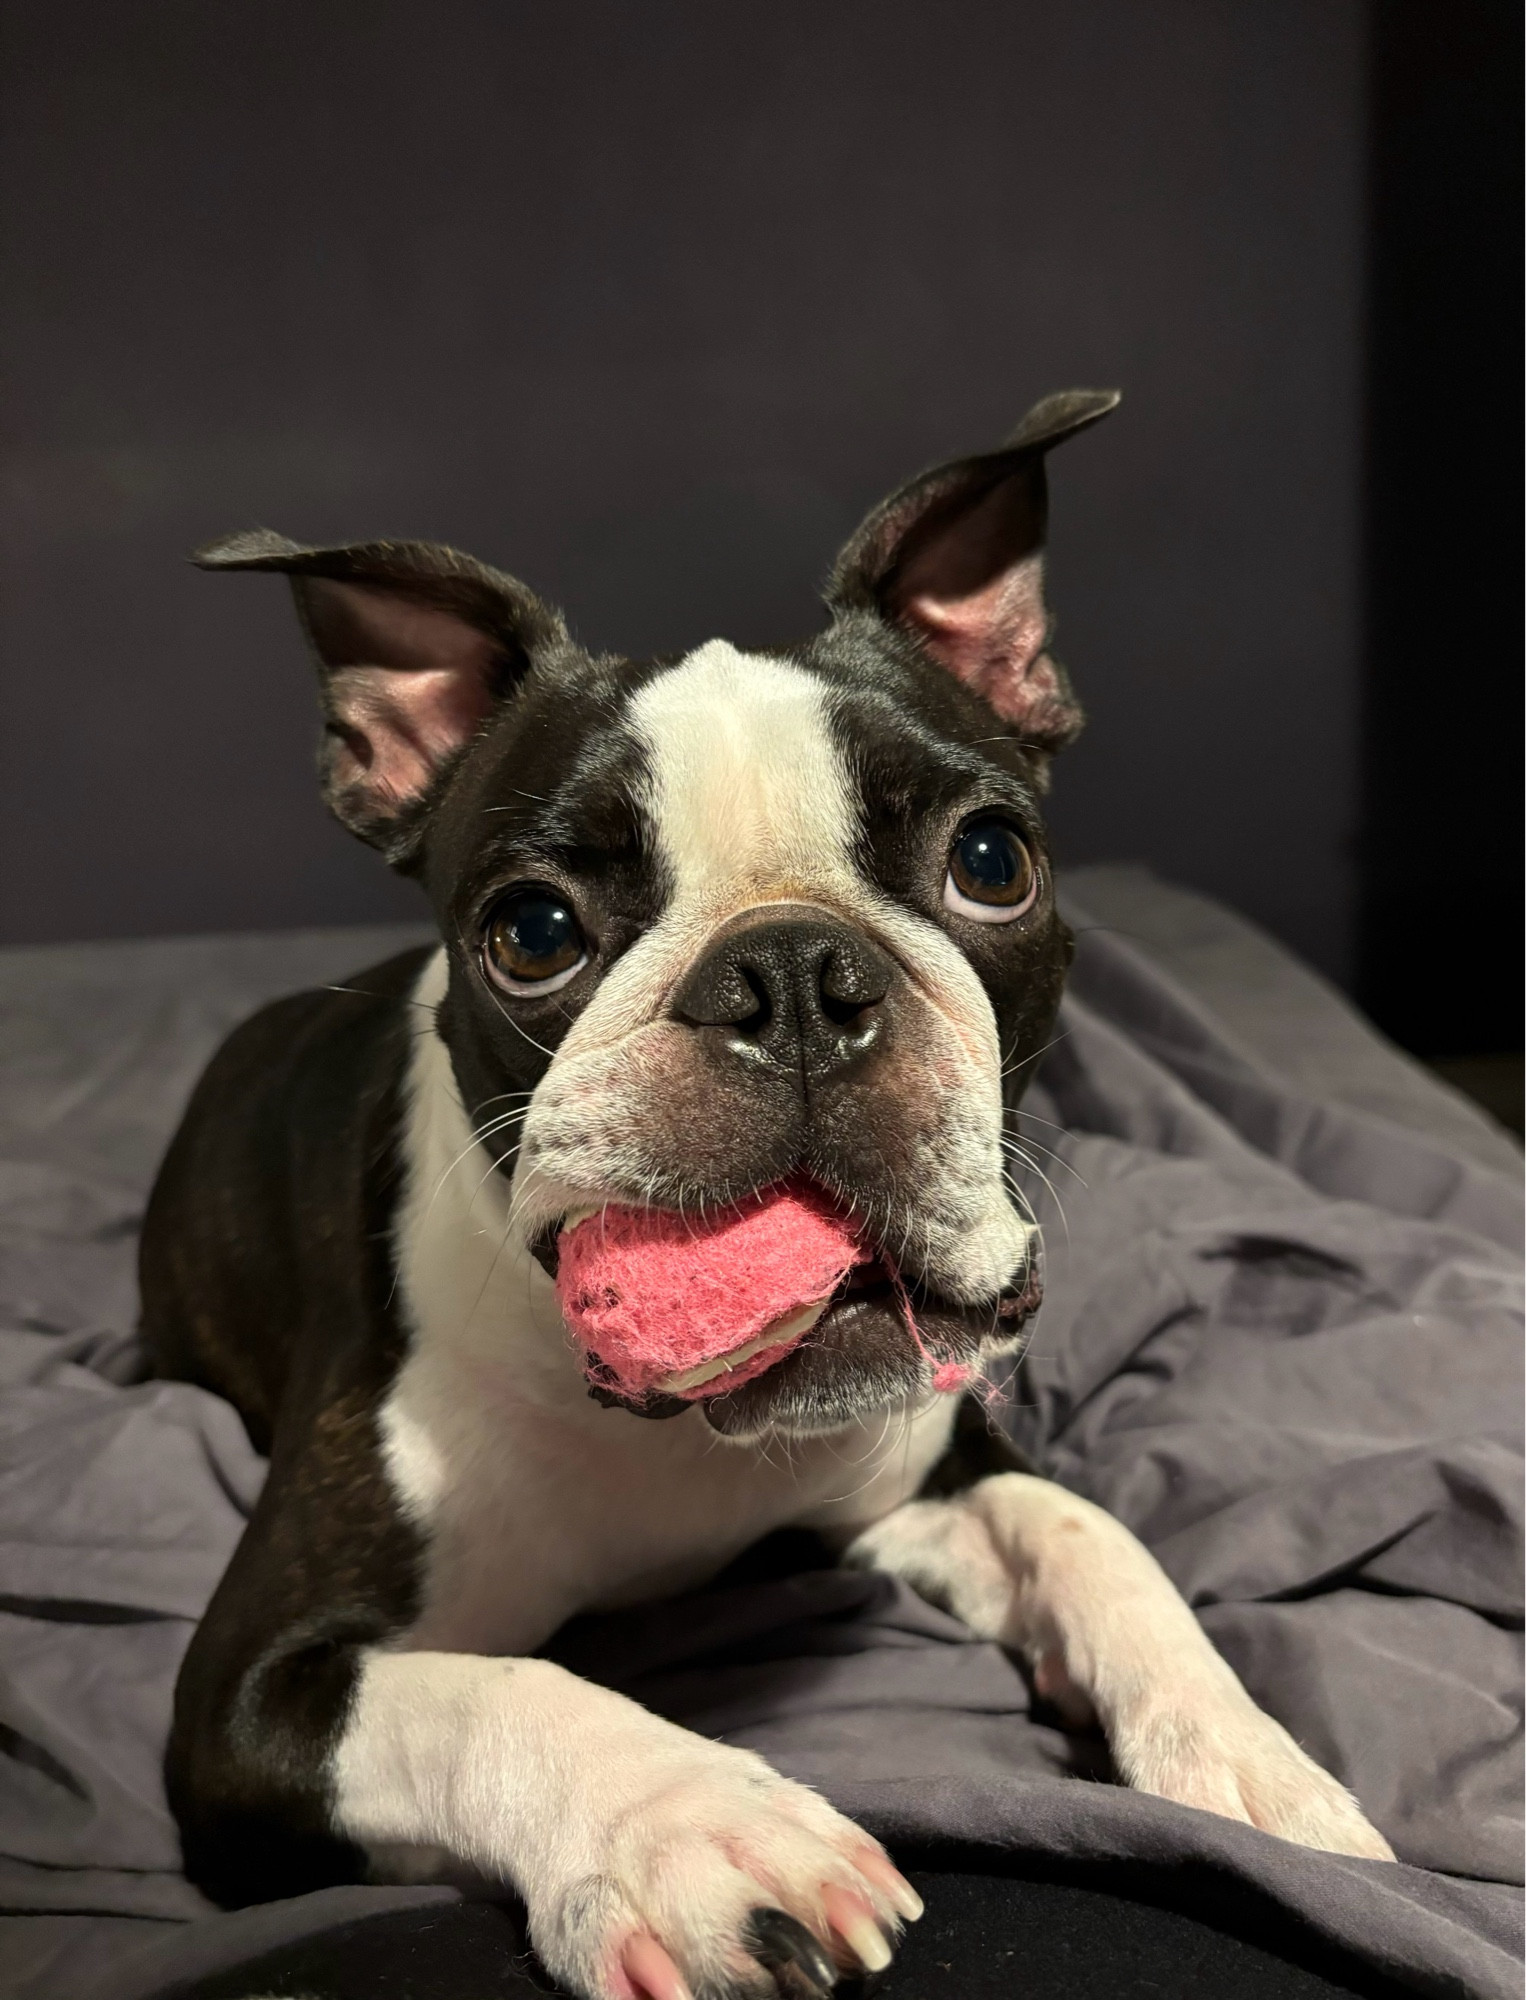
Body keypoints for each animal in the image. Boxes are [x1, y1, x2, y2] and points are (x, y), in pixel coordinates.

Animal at [143, 394, 1400, 2000]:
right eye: (531, 930)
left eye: (990, 858)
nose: (792, 972)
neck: (677, 1441)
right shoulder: (248, 1699)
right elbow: (498, 1691)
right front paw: (696, 1833)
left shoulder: (924, 1479)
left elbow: (1085, 1534)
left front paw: (1242, 1757)